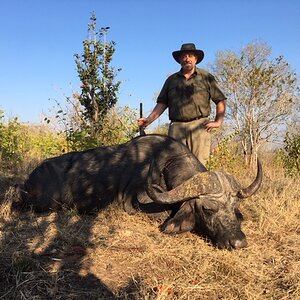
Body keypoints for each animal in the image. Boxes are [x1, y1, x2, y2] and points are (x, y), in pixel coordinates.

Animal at [15, 135, 262, 250]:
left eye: (234, 208)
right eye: (208, 209)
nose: (238, 242)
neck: (164, 164)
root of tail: (28, 182)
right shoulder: (134, 203)